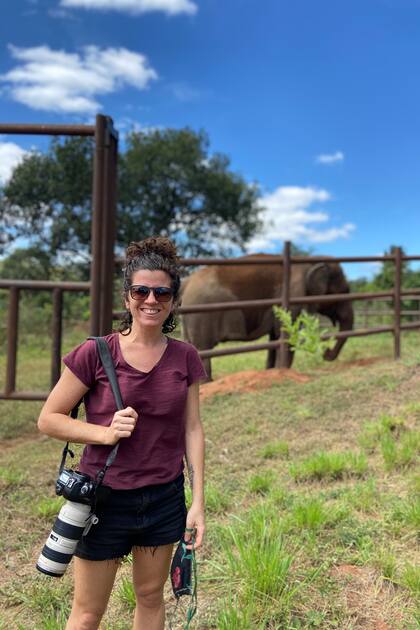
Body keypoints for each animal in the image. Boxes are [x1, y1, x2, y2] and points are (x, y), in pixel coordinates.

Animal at [180, 252, 354, 380]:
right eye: (344, 292)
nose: (326, 353)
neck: (308, 261)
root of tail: (186, 282)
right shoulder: (294, 294)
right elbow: (286, 334)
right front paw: (283, 371)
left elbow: (275, 337)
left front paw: (271, 371)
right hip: (201, 315)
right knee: (203, 349)